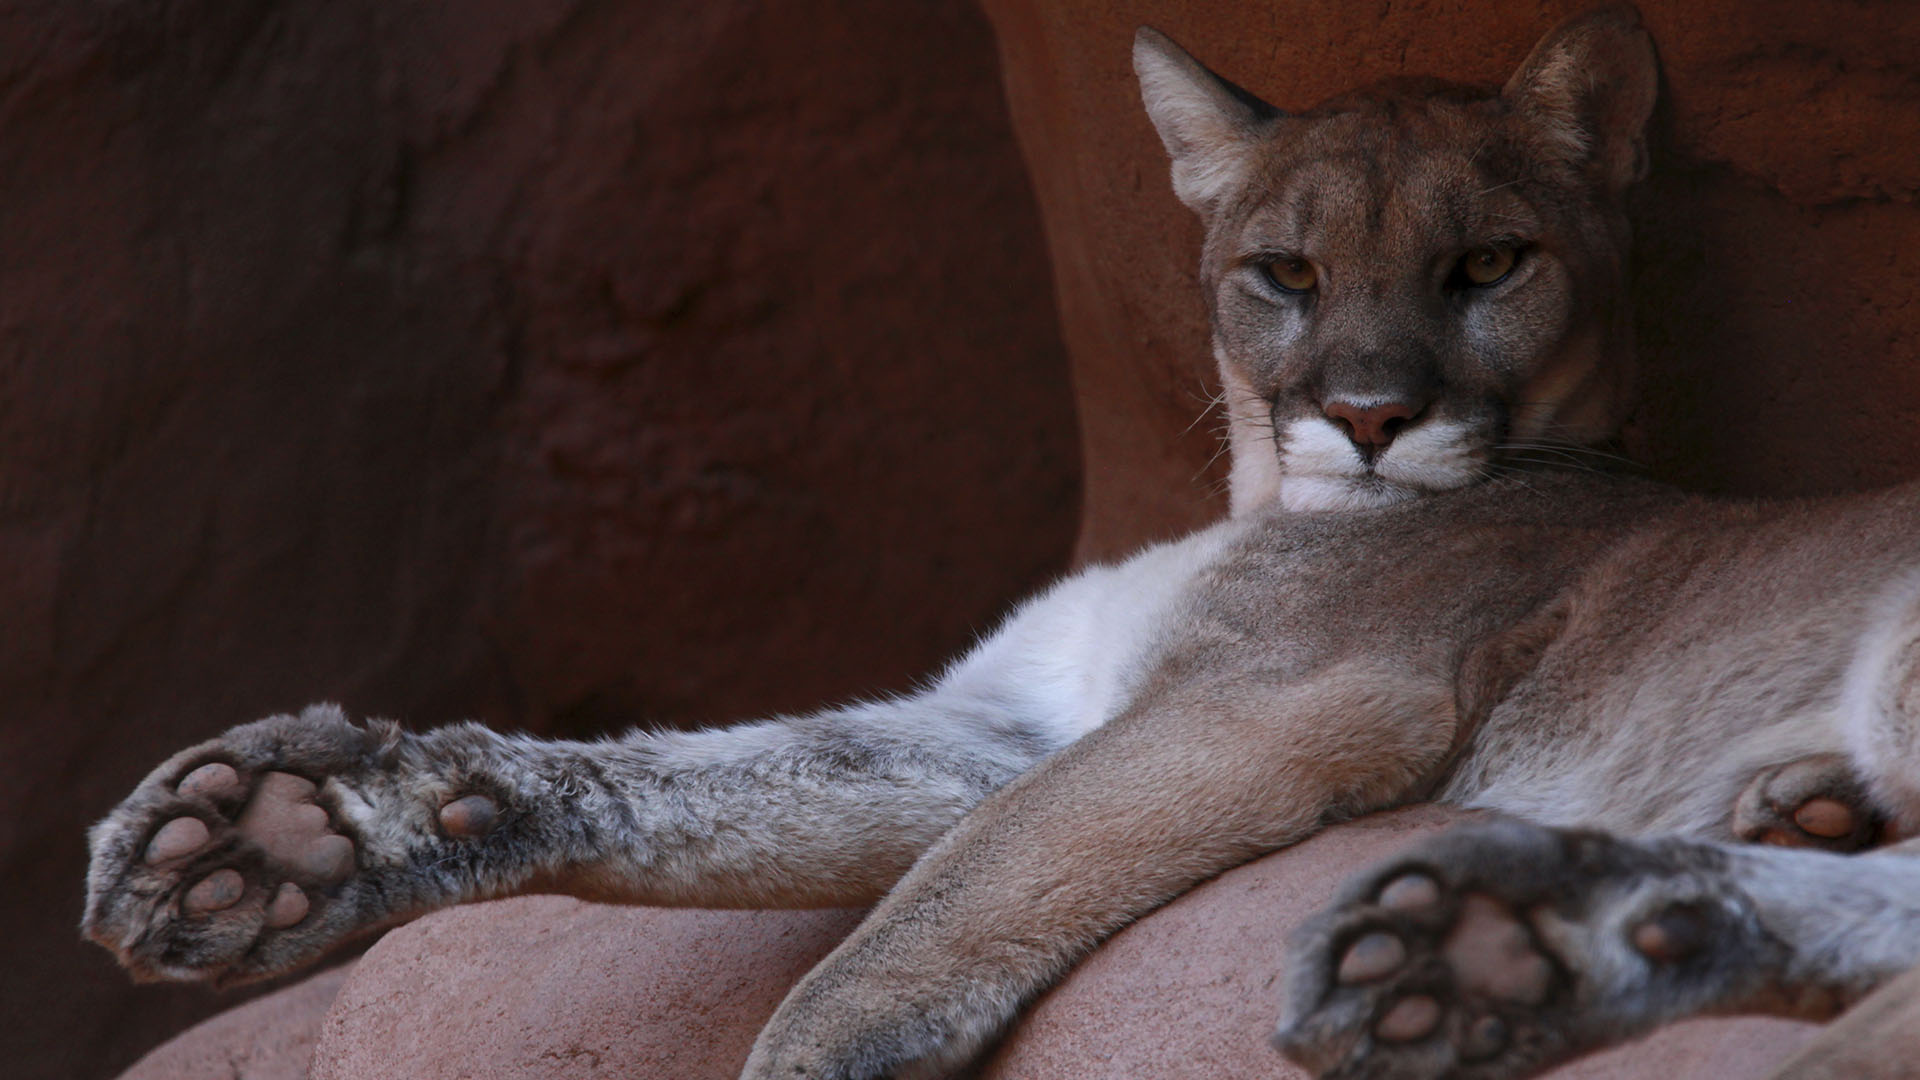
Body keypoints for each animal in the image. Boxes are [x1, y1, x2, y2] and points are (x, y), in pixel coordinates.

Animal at [82, 8, 1920, 1076]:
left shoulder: (1272, 705)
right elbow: (721, 779)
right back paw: (1545, 934)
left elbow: (946, 896)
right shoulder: (1025, 717)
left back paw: (1530, 938)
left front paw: (813, 1059)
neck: (1254, 504)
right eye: (1286, 274)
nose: (1368, 413)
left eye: (1488, 265)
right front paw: (293, 825)